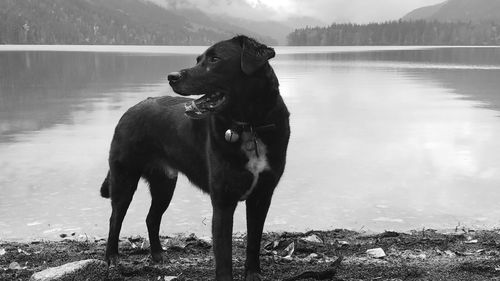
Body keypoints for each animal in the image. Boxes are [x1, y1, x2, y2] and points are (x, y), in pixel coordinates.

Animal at [100, 35, 290, 280]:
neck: (250, 126)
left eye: (215, 59)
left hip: (164, 184)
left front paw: (253, 274)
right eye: (198, 59)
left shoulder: (262, 196)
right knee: (115, 218)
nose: (171, 77)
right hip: (124, 179)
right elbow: (224, 256)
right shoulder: (223, 201)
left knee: (151, 218)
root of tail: (129, 110)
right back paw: (112, 257)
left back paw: (158, 255)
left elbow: (253, 243)